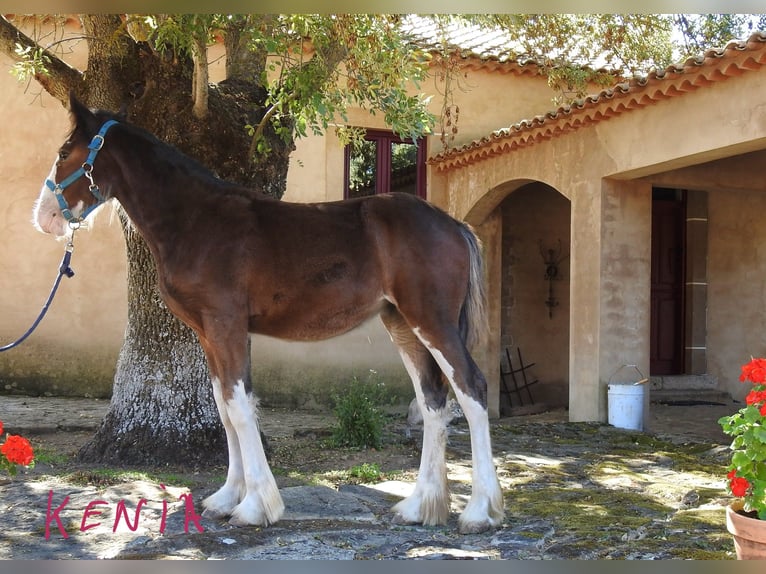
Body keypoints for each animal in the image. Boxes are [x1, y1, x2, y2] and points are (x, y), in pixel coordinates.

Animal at [33, 93, 508, 536]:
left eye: (65, 151)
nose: (45, 218)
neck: (196, 221)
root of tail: (454, 224)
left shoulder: (226, 325)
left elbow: (240, 408)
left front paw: (255, 506)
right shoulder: (209, 333)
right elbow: (224, 407)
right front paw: (227, 497)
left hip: (433, 321)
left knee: (471, 390)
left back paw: (480, 511)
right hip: (402, 324)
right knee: (432, 401)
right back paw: (419, 506)